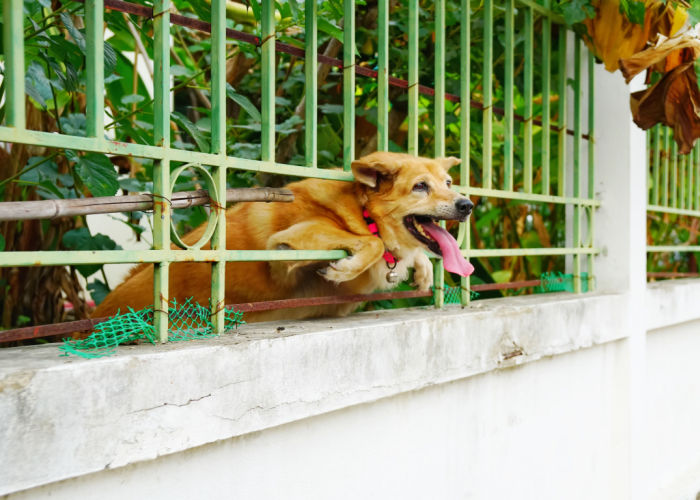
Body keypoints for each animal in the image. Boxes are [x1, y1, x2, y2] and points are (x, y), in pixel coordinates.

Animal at [93, 152, 476, 322]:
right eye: (420, 187)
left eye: (448, 183)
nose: (468, 205)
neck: (364, 214)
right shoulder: (286, 245)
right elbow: (374, 243)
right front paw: (345, 268)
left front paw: (420, 268)